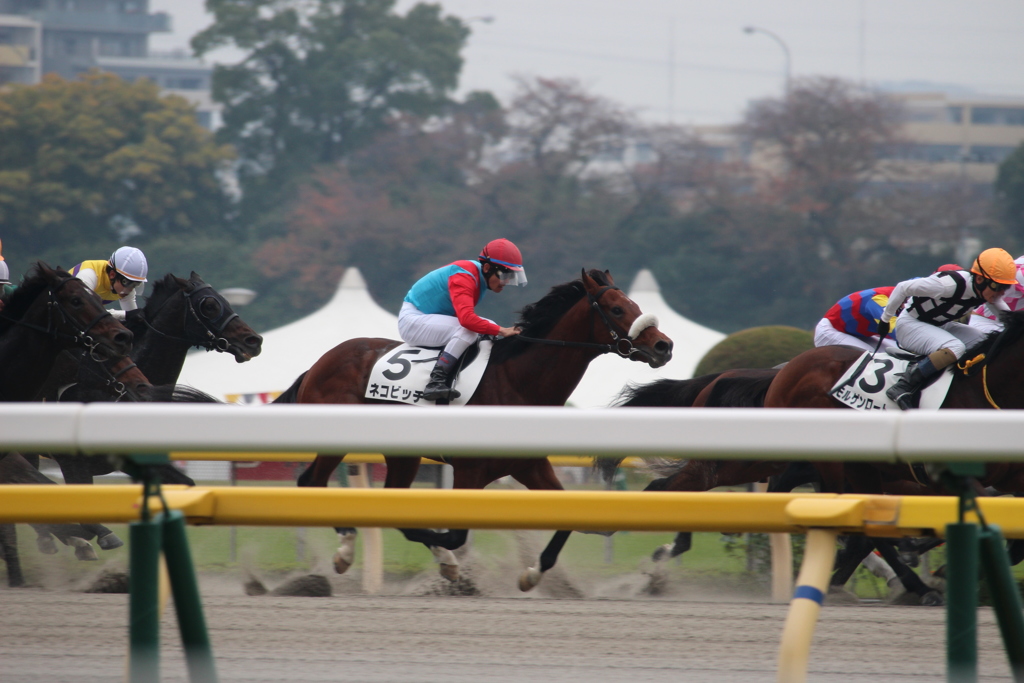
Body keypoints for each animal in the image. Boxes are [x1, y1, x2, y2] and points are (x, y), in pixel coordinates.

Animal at [284, 270, 675, 585]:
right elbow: (453, 534)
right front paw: (451, 561)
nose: (664, 345)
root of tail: (319, 364)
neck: (519, 380)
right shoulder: (469, 469)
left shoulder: (530, 466)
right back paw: (346, 549)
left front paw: (532, 574)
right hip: (337, 442)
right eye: (617, 309)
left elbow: (566, 515)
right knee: (311, 481)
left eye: (634, 303)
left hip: (403, 454)